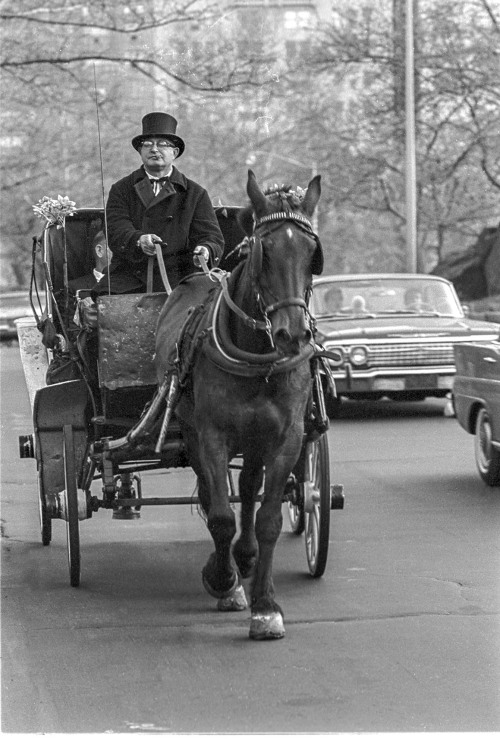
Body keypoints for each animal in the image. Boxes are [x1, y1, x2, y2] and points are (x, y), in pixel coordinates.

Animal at [154, 170, 322, 640]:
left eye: (312, 254)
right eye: (263, 252)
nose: (292, 334)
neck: (257, 355)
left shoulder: (286, 437)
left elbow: (267, 519)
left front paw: (265, 606)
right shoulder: (212, 436)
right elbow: (220, 516)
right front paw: (224, 581)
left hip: (256, 437)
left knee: (247, 487)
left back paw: (244, 556)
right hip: (196, 432)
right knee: (215, 493)